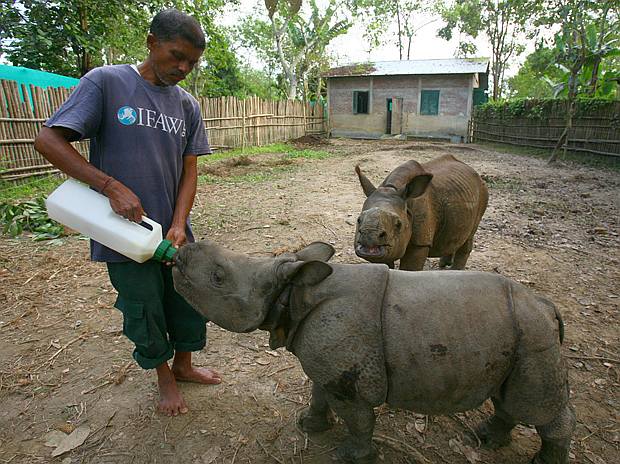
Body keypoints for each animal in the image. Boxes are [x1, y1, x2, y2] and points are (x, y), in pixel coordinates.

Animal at [171, 241, 576, 462]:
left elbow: (359, 419)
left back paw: (540, 460)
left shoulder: (350, 382)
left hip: (532, 334)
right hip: (519, 336)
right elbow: (318, 392)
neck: (291, 295)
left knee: (537, 405)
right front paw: (310, 426)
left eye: (218, 277)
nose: (179, 254)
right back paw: (486, 439)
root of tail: (546, 305)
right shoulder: (329, 364)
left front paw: (352, 457)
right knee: (511, 397)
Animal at [356, 155, 486, 270]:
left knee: (470, 234)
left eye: (398, 224)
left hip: (483, 192)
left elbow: (409, 268)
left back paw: (455, 271)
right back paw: (444, 264)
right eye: (358, 220)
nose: (369, 236)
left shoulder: (420, 242)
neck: (392, 188)